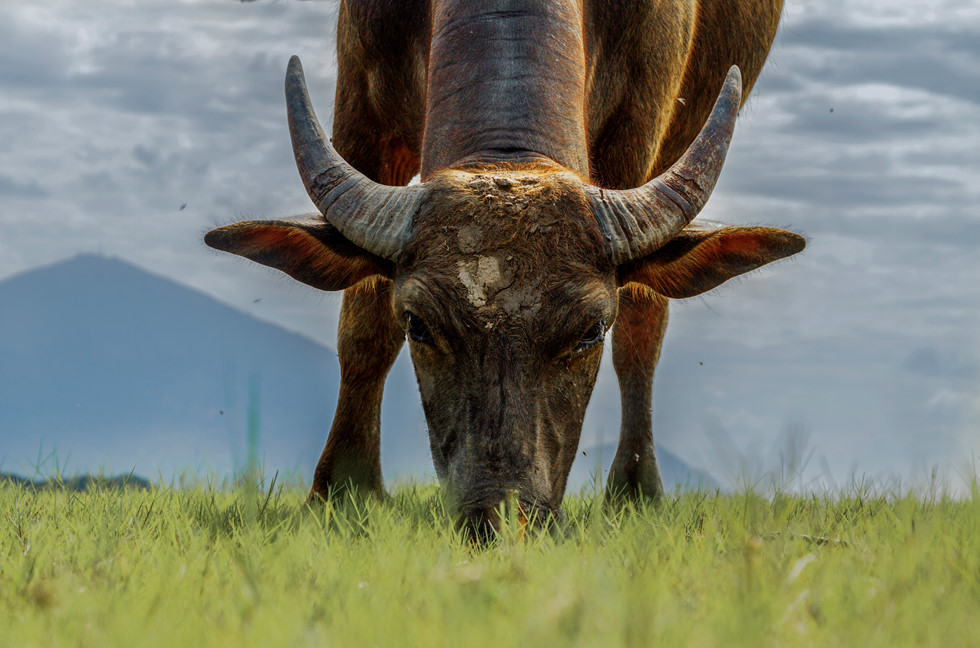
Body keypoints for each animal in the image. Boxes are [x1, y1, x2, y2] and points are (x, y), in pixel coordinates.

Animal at [207, 0, 804, 536]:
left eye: (591, 331)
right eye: (418, 325)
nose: (501, 518)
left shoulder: (642, 124)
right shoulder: (362, 104)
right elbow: (364, 325)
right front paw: (343, 490)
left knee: (644, 330)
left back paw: (636, 492)